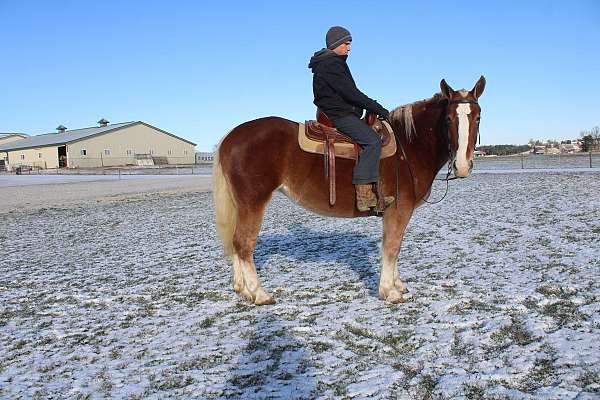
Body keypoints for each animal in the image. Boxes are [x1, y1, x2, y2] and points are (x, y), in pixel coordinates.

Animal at [213, 76, 486, 304]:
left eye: (477, 117)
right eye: (449, 119)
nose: (462, 166)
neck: (409, 147)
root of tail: (230, 136)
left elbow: (394, 246)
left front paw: (398, 284)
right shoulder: (398, 210)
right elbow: (392, 247)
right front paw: (389, 291)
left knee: (236, 243)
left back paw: (242, 289)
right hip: (253, 202)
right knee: (243, 244)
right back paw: (259, 293)